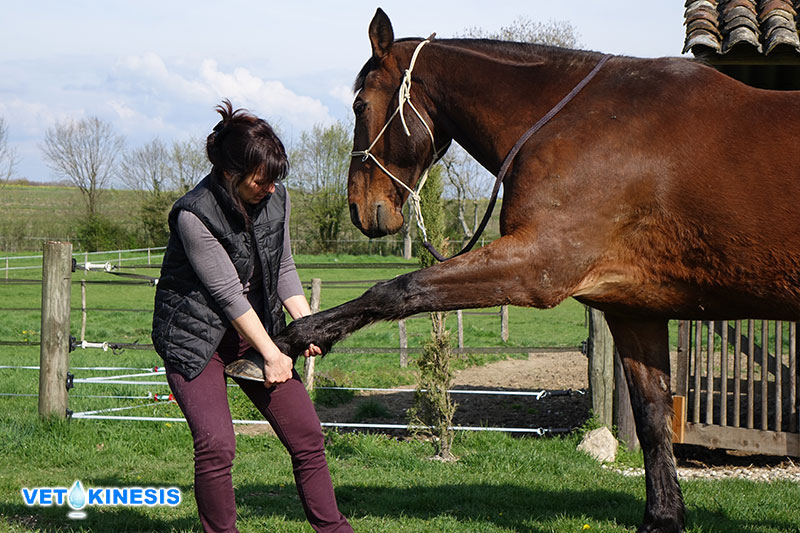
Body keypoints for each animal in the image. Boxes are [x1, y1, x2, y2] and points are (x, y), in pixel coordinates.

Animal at [274, 8, 800, 532]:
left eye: (360, 105)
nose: (361, 208)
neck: (585, 121)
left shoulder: (536, 267)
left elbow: (395, 291)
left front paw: (289, 340)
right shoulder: (633, 308)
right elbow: (652, 417)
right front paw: (664, 516)